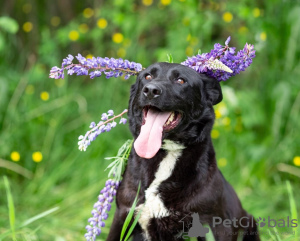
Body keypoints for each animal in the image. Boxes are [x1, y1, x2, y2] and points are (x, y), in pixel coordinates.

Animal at [106, 62, 258, 241]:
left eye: (180, 80)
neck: (166, 152)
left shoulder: (213, 225)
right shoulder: (122, 216)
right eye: (147, 76)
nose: (150, 90)